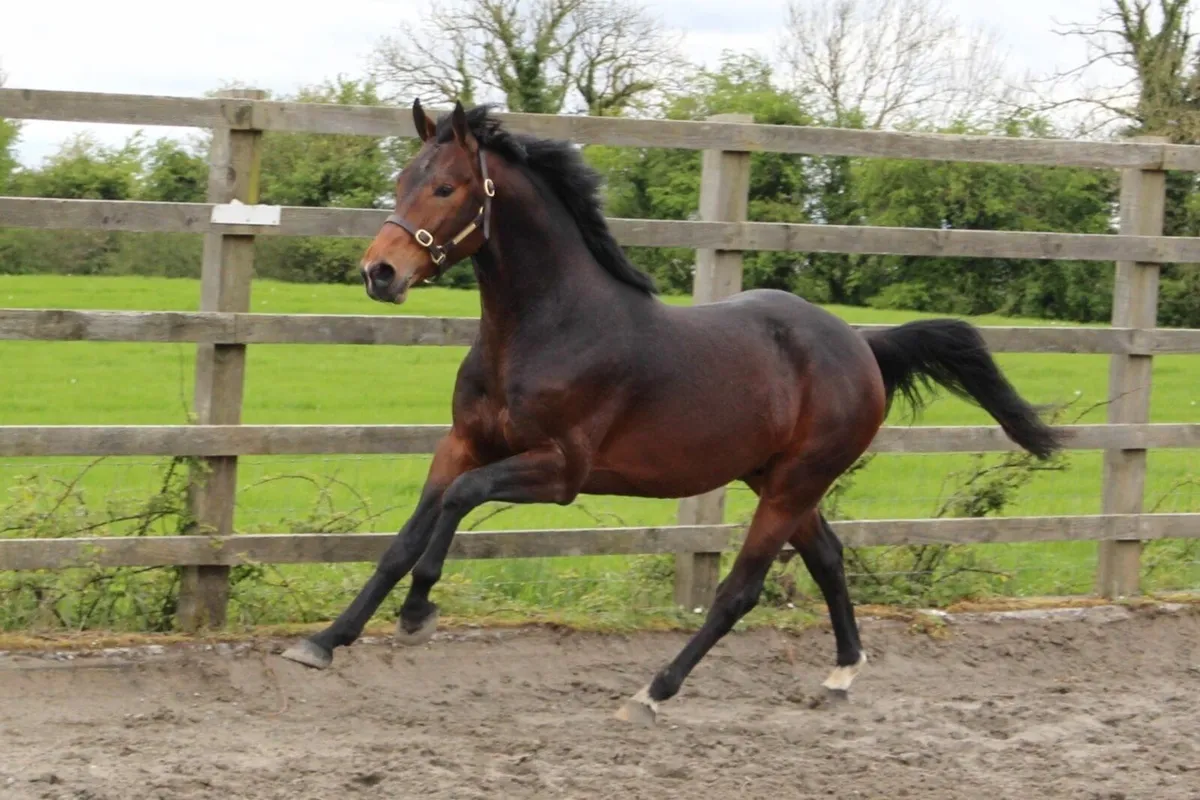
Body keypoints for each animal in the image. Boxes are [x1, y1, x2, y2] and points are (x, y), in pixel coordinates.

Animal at [280, 99, 1063, 725]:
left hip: (793, 483)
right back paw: (842, 674)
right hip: (776, 478)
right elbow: (405, 538)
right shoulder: (463, 443)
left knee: (740, 591)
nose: (379, 272)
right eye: (400, 181)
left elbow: (457, 505)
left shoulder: (559, 472)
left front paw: (418, 614)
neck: (544, 329)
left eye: (446, 186)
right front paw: (321, 642)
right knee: (829, 557)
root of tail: (862, 345)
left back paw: (652, 692)